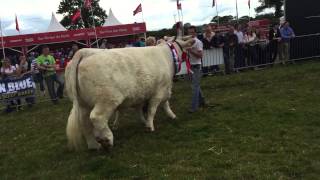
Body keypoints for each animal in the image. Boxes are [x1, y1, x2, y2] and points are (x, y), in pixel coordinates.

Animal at [65, 37, 195, 150]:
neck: (166, 56)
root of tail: (84, 52)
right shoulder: (159, 90)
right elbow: (153, 109)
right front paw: (150, 126)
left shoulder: (146, 92)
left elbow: (153, 106)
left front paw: (169, 116)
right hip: (107, 99)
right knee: (97, 117)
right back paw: (107, 140)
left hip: (83, 103)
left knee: (84, 122)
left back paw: (93, 145)